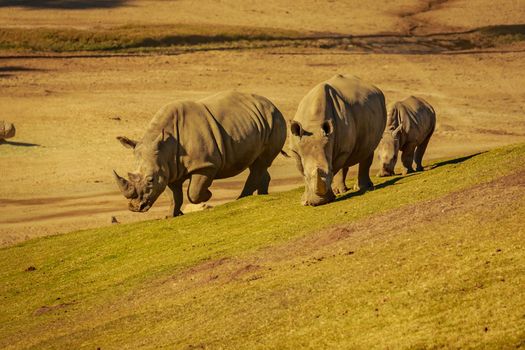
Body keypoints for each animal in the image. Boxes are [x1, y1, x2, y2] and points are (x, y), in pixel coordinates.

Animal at [112, 91, 286, 216]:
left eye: (150, 180)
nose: (135, 207)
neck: (165, 146)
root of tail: (272, 104)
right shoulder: (169, 168)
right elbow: (174, 195)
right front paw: (172, 215)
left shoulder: (205, 165)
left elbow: (193, 192)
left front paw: (207, 195)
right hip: (257, 122)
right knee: (258, 163)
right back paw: (263, 195)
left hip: (275, 120)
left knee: (260, 163)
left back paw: (242, 198)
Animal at [288, 74, 386, 205]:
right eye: (307, 176)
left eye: (329, 170)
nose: (319, 202)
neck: (313, 125)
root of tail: (375, 88)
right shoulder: (296, 150)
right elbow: (302, 170)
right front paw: (305, 201)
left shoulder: (340, 150)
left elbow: (336, 168)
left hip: (380, 106)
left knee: (369, 148)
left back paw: (362, 187)